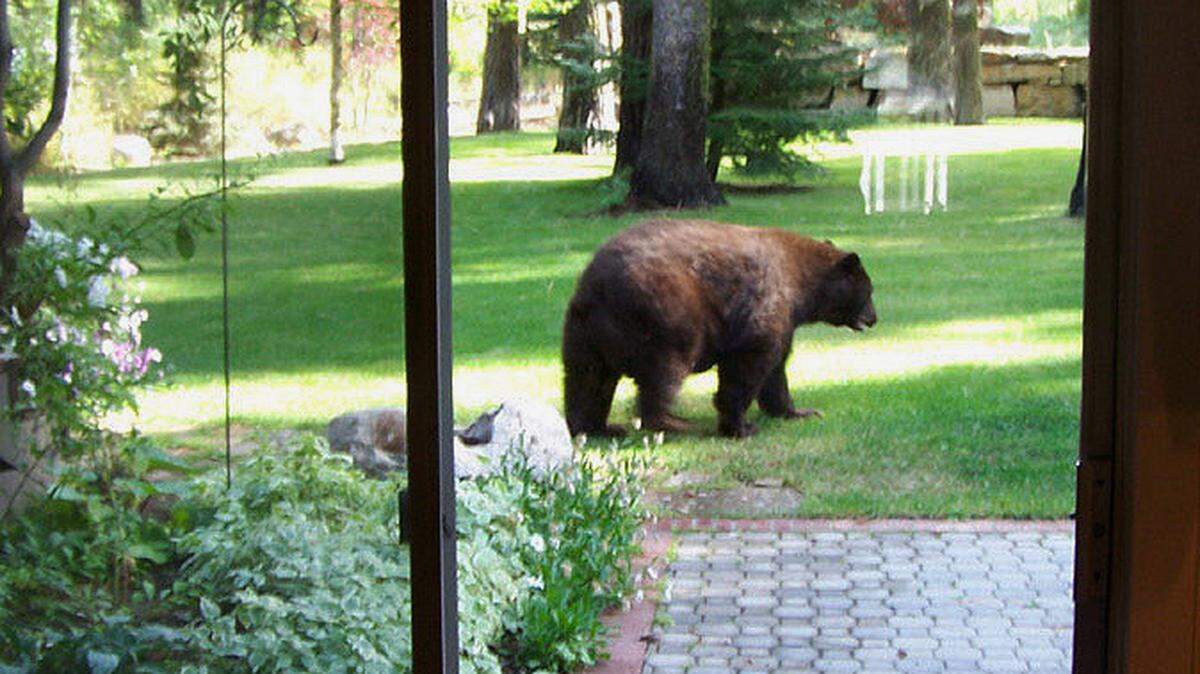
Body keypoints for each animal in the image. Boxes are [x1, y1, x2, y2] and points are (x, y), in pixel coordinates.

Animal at [562, 218, 876, 438]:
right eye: (869, 291)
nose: (874, 318)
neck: (801, 282)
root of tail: (599, 287)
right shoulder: (765, 305)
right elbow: (750, 362)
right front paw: (740, 427)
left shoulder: (786, 322)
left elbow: (777, 368)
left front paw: (799, 411)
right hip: (666, 316)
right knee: (664, 370)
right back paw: (677, 423)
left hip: (584, 330)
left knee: (587, 378)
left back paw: (596, 427)